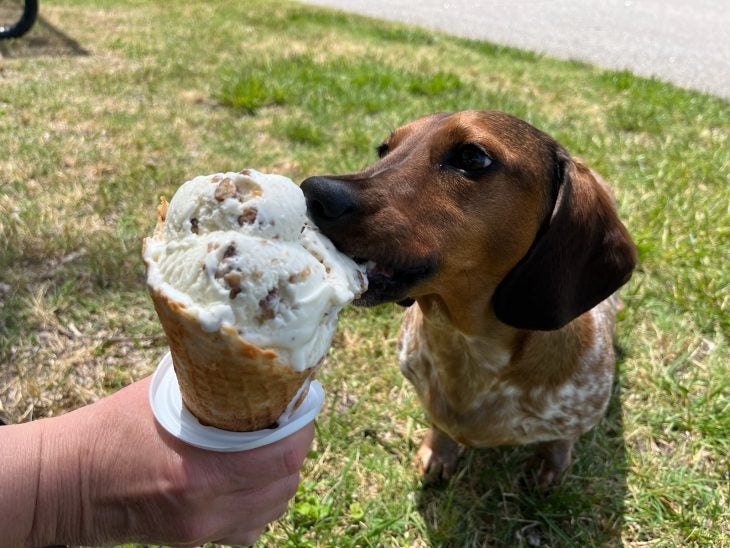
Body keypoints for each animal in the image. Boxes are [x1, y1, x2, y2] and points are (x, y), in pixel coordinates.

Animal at [298, 111, 636, 488]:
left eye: (472, 157)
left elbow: (560, 439)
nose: (311, 192)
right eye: (384, 148)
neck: (463, 342)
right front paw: (438, 451)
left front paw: (551, 466)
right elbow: (440, 425)